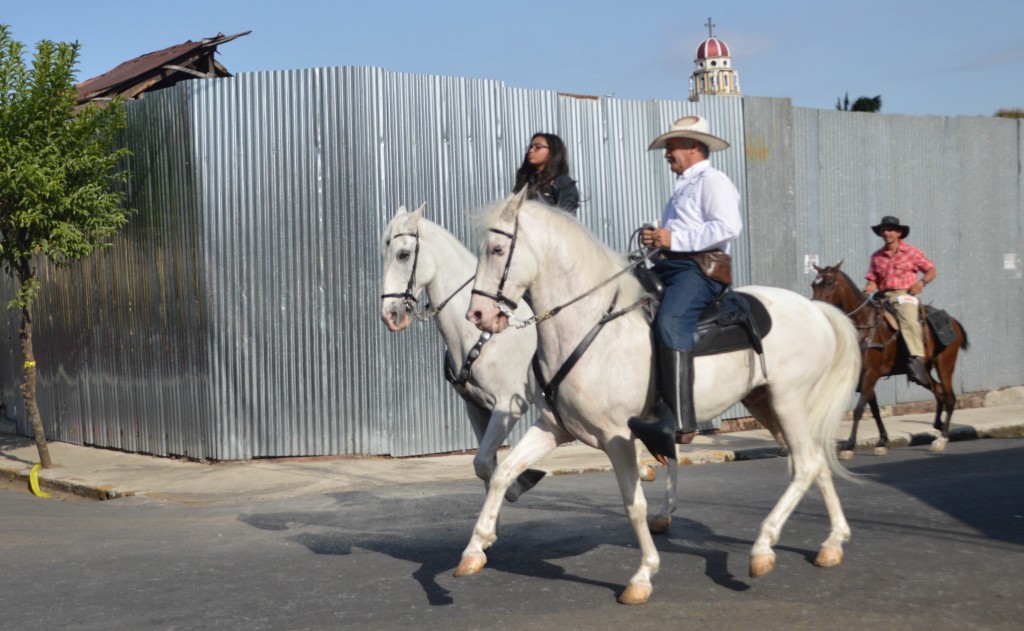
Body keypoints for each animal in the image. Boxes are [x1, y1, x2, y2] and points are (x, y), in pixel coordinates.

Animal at [376, 204, 655, 499]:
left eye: (403, 254)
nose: (390, 315)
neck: (477, 336)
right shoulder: (475, 408)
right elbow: (484, 465)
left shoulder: (506, 403)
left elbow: (485, 462)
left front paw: (519, 483)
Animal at [464, 193, 864, 606]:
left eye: (497, 249)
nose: (477, 314)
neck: (588, 323)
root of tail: (816, 310)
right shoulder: (552, 428)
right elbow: (502, 473)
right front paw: (476, 548)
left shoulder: (617, 438)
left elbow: (633, 503)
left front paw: (643, 575)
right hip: (765, 404)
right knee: (816, 463)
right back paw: (832, 543)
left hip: (790, 403)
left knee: (805, 465)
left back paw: (763, 548)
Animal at [815, 262, 966, 458]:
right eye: (813, 284)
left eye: (828, 283)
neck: (865, 326)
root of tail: (954, 321)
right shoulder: (864, 377)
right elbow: (874, 409)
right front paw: (882, 441)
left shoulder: (870, 374)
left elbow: (859, 409)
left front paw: (849, 446)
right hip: (923, 372)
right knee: (939, 390)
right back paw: (938, 426)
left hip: (945, 365)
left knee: (949, 397)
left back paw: (941, 439)